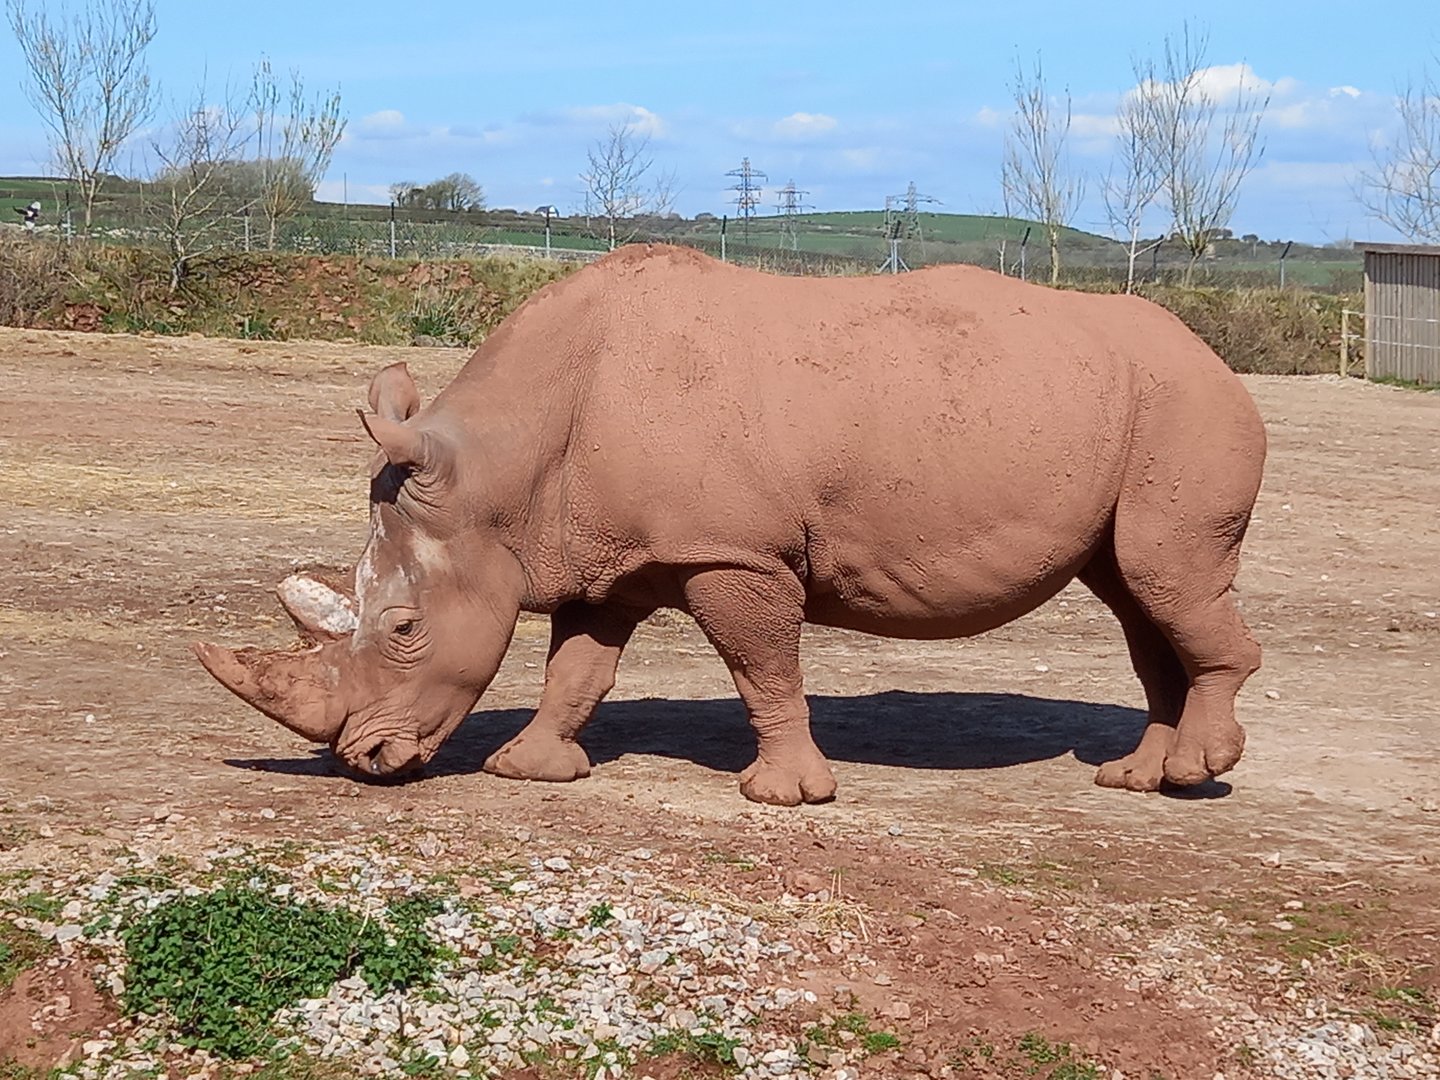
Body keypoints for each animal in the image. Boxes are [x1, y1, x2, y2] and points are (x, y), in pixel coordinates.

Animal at [195, 244, 1266, 806]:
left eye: (406, 627)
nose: (364, 764)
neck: (500, 466)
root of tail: (1217, 358)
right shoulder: (605, 553)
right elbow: (576, 667)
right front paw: (531, 771)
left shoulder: (731, 552)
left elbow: (762, 665)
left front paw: (783, 796)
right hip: (1134, 410)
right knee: (1137, 596)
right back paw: (1137, 780)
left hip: (1185, 408)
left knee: (1167, 577)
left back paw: (1197, 773)